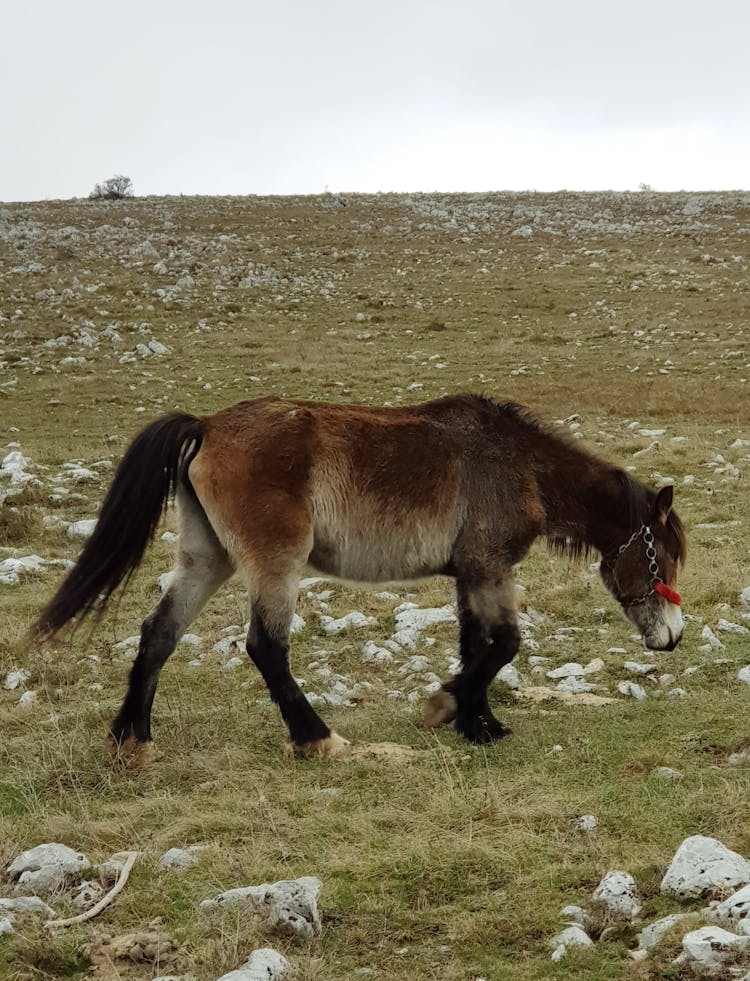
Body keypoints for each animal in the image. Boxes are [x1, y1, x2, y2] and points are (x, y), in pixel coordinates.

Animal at [30, 392, 688, 756]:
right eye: (662, 553)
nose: (672, 637)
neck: (519, 466)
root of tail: (207, 426)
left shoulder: (470, 574)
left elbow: (475, 646)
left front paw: (479, 725)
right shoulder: (489, 568)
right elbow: (503, 645)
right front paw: (446, 708)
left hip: (207, 559)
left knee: (158, 634)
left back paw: (132, 737)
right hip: (276, 565)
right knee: (266, 647)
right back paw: (315, 738)